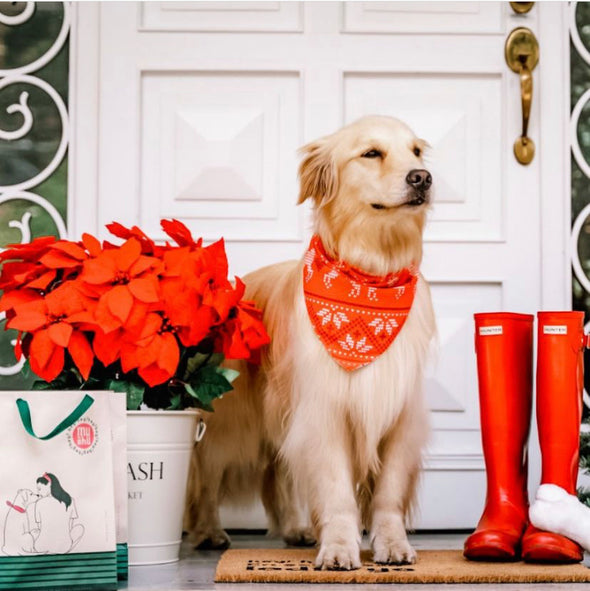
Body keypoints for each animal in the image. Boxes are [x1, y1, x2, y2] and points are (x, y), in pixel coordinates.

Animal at [187, 113, 438, 572]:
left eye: (416, 152)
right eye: (371, 153)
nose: (422, 178)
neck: (370, 275)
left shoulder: (399, 416)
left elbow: (389, 493)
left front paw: (392, 543)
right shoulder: (325, 411)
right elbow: (336, 491)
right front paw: (338, 547)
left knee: (278, 476)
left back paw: (295, 527)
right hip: (232, 422)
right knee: (208, 476)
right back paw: (210, 530)